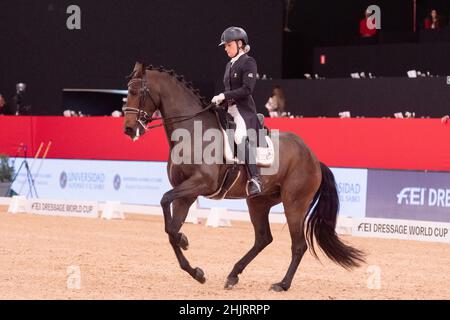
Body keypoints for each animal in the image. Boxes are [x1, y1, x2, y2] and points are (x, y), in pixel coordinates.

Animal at [121, 61, 364, 292]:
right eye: (127, 91)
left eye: (136, 91)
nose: (129, 129)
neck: (192, 133)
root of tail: (313, 158)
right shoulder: (186, 193)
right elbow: (171, 228)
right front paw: (194, 266)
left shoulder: (201, 184)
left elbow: (164, 201)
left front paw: (185, 245)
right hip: (258, 202)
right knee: (263, 238)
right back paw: (233, 275)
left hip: (294, 204)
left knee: (298, 245)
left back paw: (282, 284)